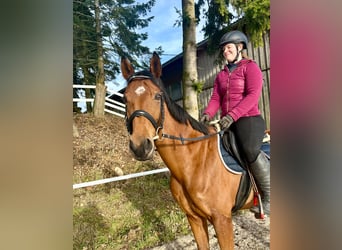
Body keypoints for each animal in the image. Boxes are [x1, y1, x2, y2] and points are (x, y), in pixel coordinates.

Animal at [121, 52, 255, 248]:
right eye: (125, 99)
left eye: (158, 96)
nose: (140, 147)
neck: (195, 162)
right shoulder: (194, 218)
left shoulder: (222, 220)